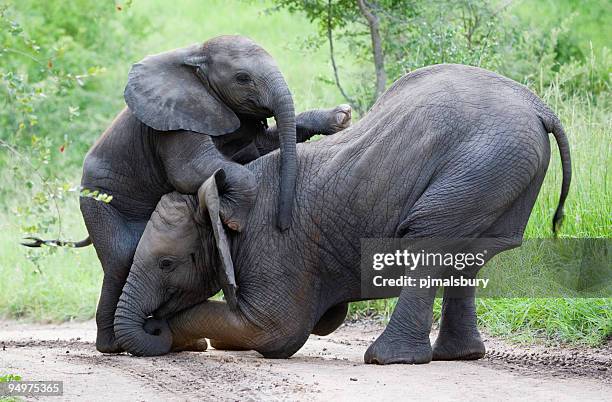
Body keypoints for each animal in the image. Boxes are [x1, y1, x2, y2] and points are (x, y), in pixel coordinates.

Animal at [21, 35, 352, 354]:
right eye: (242, 78)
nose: (283, 223)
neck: (197, 55)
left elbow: (257, 147)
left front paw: (339, 117)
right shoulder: (176, 119)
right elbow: (191, 169)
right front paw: (233, 217)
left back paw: (188, 345)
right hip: (97, 201)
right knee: (121, 259)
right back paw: (112, 347)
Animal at [112, 62, 572, 362]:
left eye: (168, 263)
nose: (151, 326)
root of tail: (538, 105)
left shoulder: (273, 247)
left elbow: (274, 330)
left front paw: (174, 332)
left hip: (482, 163)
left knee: (428, 239)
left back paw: (388, 360)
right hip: (501, 170)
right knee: (470, 256)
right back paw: (459, 356)